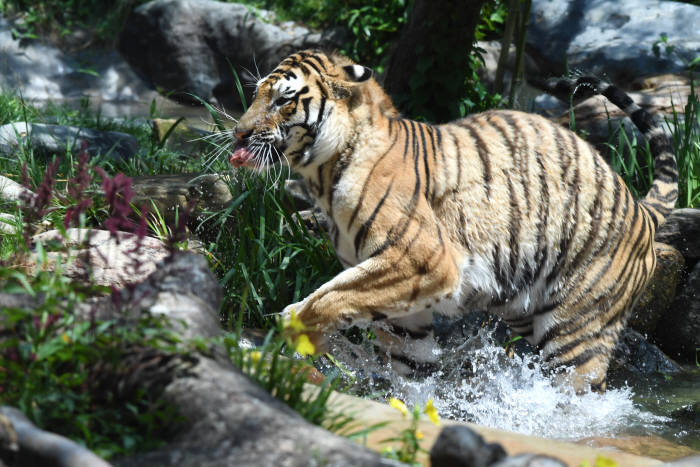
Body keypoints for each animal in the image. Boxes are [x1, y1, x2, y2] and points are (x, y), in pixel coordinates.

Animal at [231, 49, 680, 394]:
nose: (238, 134)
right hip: (522, 305)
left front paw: (296, 330)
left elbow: (330, 296)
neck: (323, 173)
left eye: (283, 100)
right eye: (255, 95)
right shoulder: (401, 299)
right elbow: (407, 361)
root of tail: (642, 208)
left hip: (578, 330)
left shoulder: (421, 259)